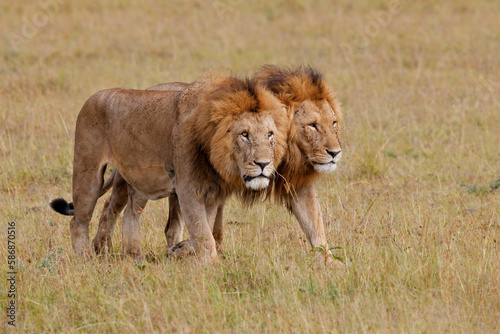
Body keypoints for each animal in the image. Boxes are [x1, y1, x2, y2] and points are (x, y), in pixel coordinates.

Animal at [50, 73, 290, 264]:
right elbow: (203, 233)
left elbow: (205, 230)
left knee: (129, 214)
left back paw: (134, 257)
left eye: (270, 134)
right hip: (88, 172)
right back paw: (86, 259)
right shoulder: (187, 189)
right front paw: (210, 266)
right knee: (78, 221)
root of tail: (93, 97)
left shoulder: (211, 193)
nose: (263, 164)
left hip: (139, 179)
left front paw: (180, 251)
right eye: (244, 134)